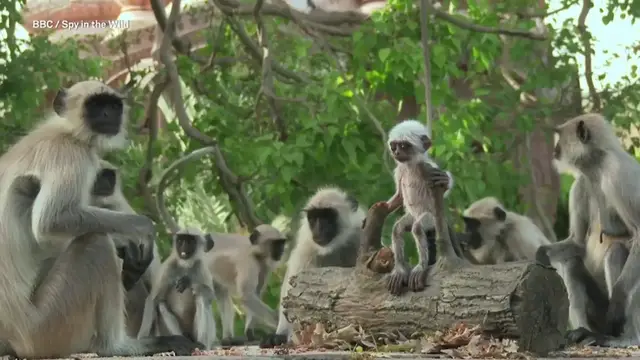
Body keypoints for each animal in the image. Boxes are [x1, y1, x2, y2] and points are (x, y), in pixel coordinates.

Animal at [0, 79, 201, 358]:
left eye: (113, 106)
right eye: (95, 106)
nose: (108, 115)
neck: (66, 131)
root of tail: (12, 337)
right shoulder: (71, 154)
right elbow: (51, 221)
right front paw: (141, 229)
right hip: (45, 328)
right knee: (96, 242)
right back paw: (119, 346)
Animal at [260, 187, 368, 348]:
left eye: (327, 217)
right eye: (313, 218)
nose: (318, 229)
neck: (333, 248)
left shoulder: (358, 237)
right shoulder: (306, 251)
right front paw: (279, 336)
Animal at [384, 121, 456, 296]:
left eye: (404, 146)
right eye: (394, 146)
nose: (396, 152)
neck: (410, 166)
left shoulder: (427, 167)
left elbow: (442, 188)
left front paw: (445, 180)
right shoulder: (400, 170)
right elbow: (399, 196)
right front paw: (386, 207)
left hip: (430, 218)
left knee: (417, 228)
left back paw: (420, 267)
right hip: (412, 216)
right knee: (397, 229)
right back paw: (400, 270)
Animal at [536, 114, 640, 348]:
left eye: (560, 137)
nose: (555, 149)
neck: (597, 168)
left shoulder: (617, 174)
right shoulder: (579, 184)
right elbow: (577, 243)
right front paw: (540, 255)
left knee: (616, 252)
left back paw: (626, 337)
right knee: (572, 264)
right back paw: (582, 332)